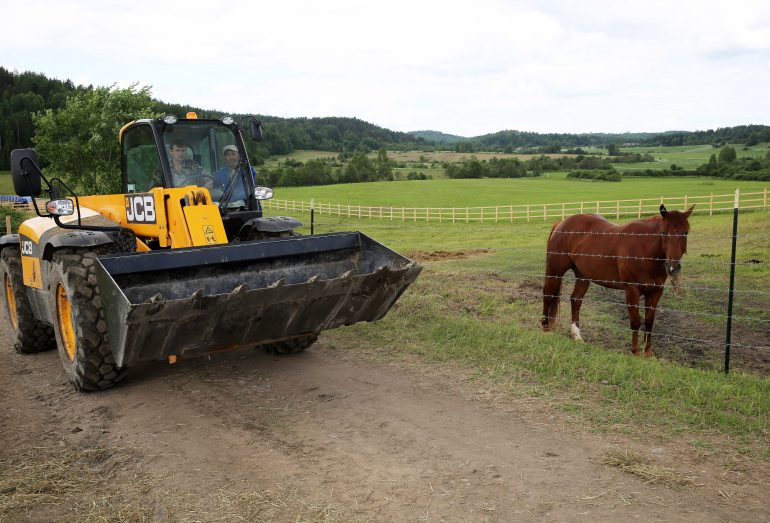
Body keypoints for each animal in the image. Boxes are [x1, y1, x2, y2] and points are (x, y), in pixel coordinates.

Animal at [541, 204, 693, 357]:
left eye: (685, 233)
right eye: (663, 233)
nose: (673, 267)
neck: (644, 249)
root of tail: (561, 223)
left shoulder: (655, 291)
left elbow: (649, 321)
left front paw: (648, 352)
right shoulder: (632, 290)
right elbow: (635, 321)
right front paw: (636, 351)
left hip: (583, 277)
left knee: (576, 300)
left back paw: (577, 336)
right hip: (555, 272)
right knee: (548, 294)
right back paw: (545, 327)